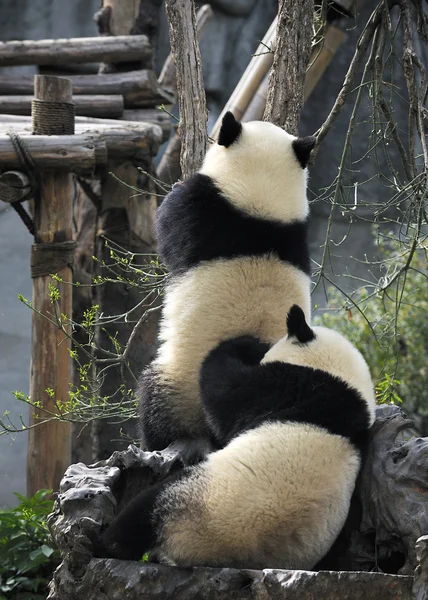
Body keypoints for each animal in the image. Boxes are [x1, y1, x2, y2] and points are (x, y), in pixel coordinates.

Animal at [96, 308, 374, 568]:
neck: (338, 377)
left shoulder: (282, 389)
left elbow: (223, 390)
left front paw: (243, 344)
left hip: (192, 495)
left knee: (143, 512)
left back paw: (105, 543)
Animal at [140, 111, 314, 454]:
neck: (260, 207)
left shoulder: (202, 209)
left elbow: (167, 226)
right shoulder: (298, 235)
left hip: (181, 383)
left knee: (157, 400)